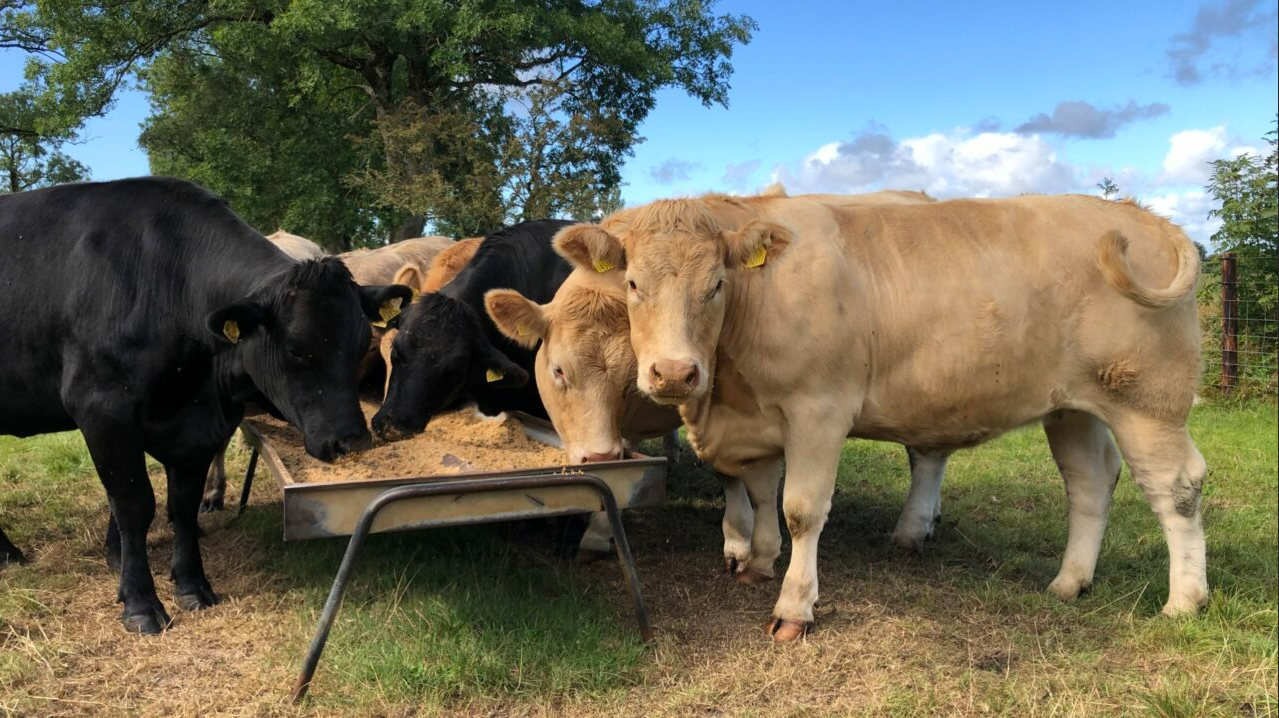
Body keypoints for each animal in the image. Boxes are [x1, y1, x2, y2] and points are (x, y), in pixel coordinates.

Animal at [0, 177, 411, 634]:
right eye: (295, 348)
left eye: (361, 342)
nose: (350, 442)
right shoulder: (101, 410)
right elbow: (134, 504)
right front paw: (141, 602)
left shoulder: (196, 428)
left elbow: (181, 504)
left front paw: (192, 585)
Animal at [555, 192, 1206, 641]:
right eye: (632, 283)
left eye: (716, 284)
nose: (673, 373)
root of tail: (1144, 216)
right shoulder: (758, 417)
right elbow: (761, 494)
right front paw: (758, 563)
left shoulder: (818, 409)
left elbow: (801, 509)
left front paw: (794, 608)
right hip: (1073, 408)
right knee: (1090, 483)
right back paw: (1070, 582)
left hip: (1148, 401)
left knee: (1177, 486)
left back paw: (1185, 601)